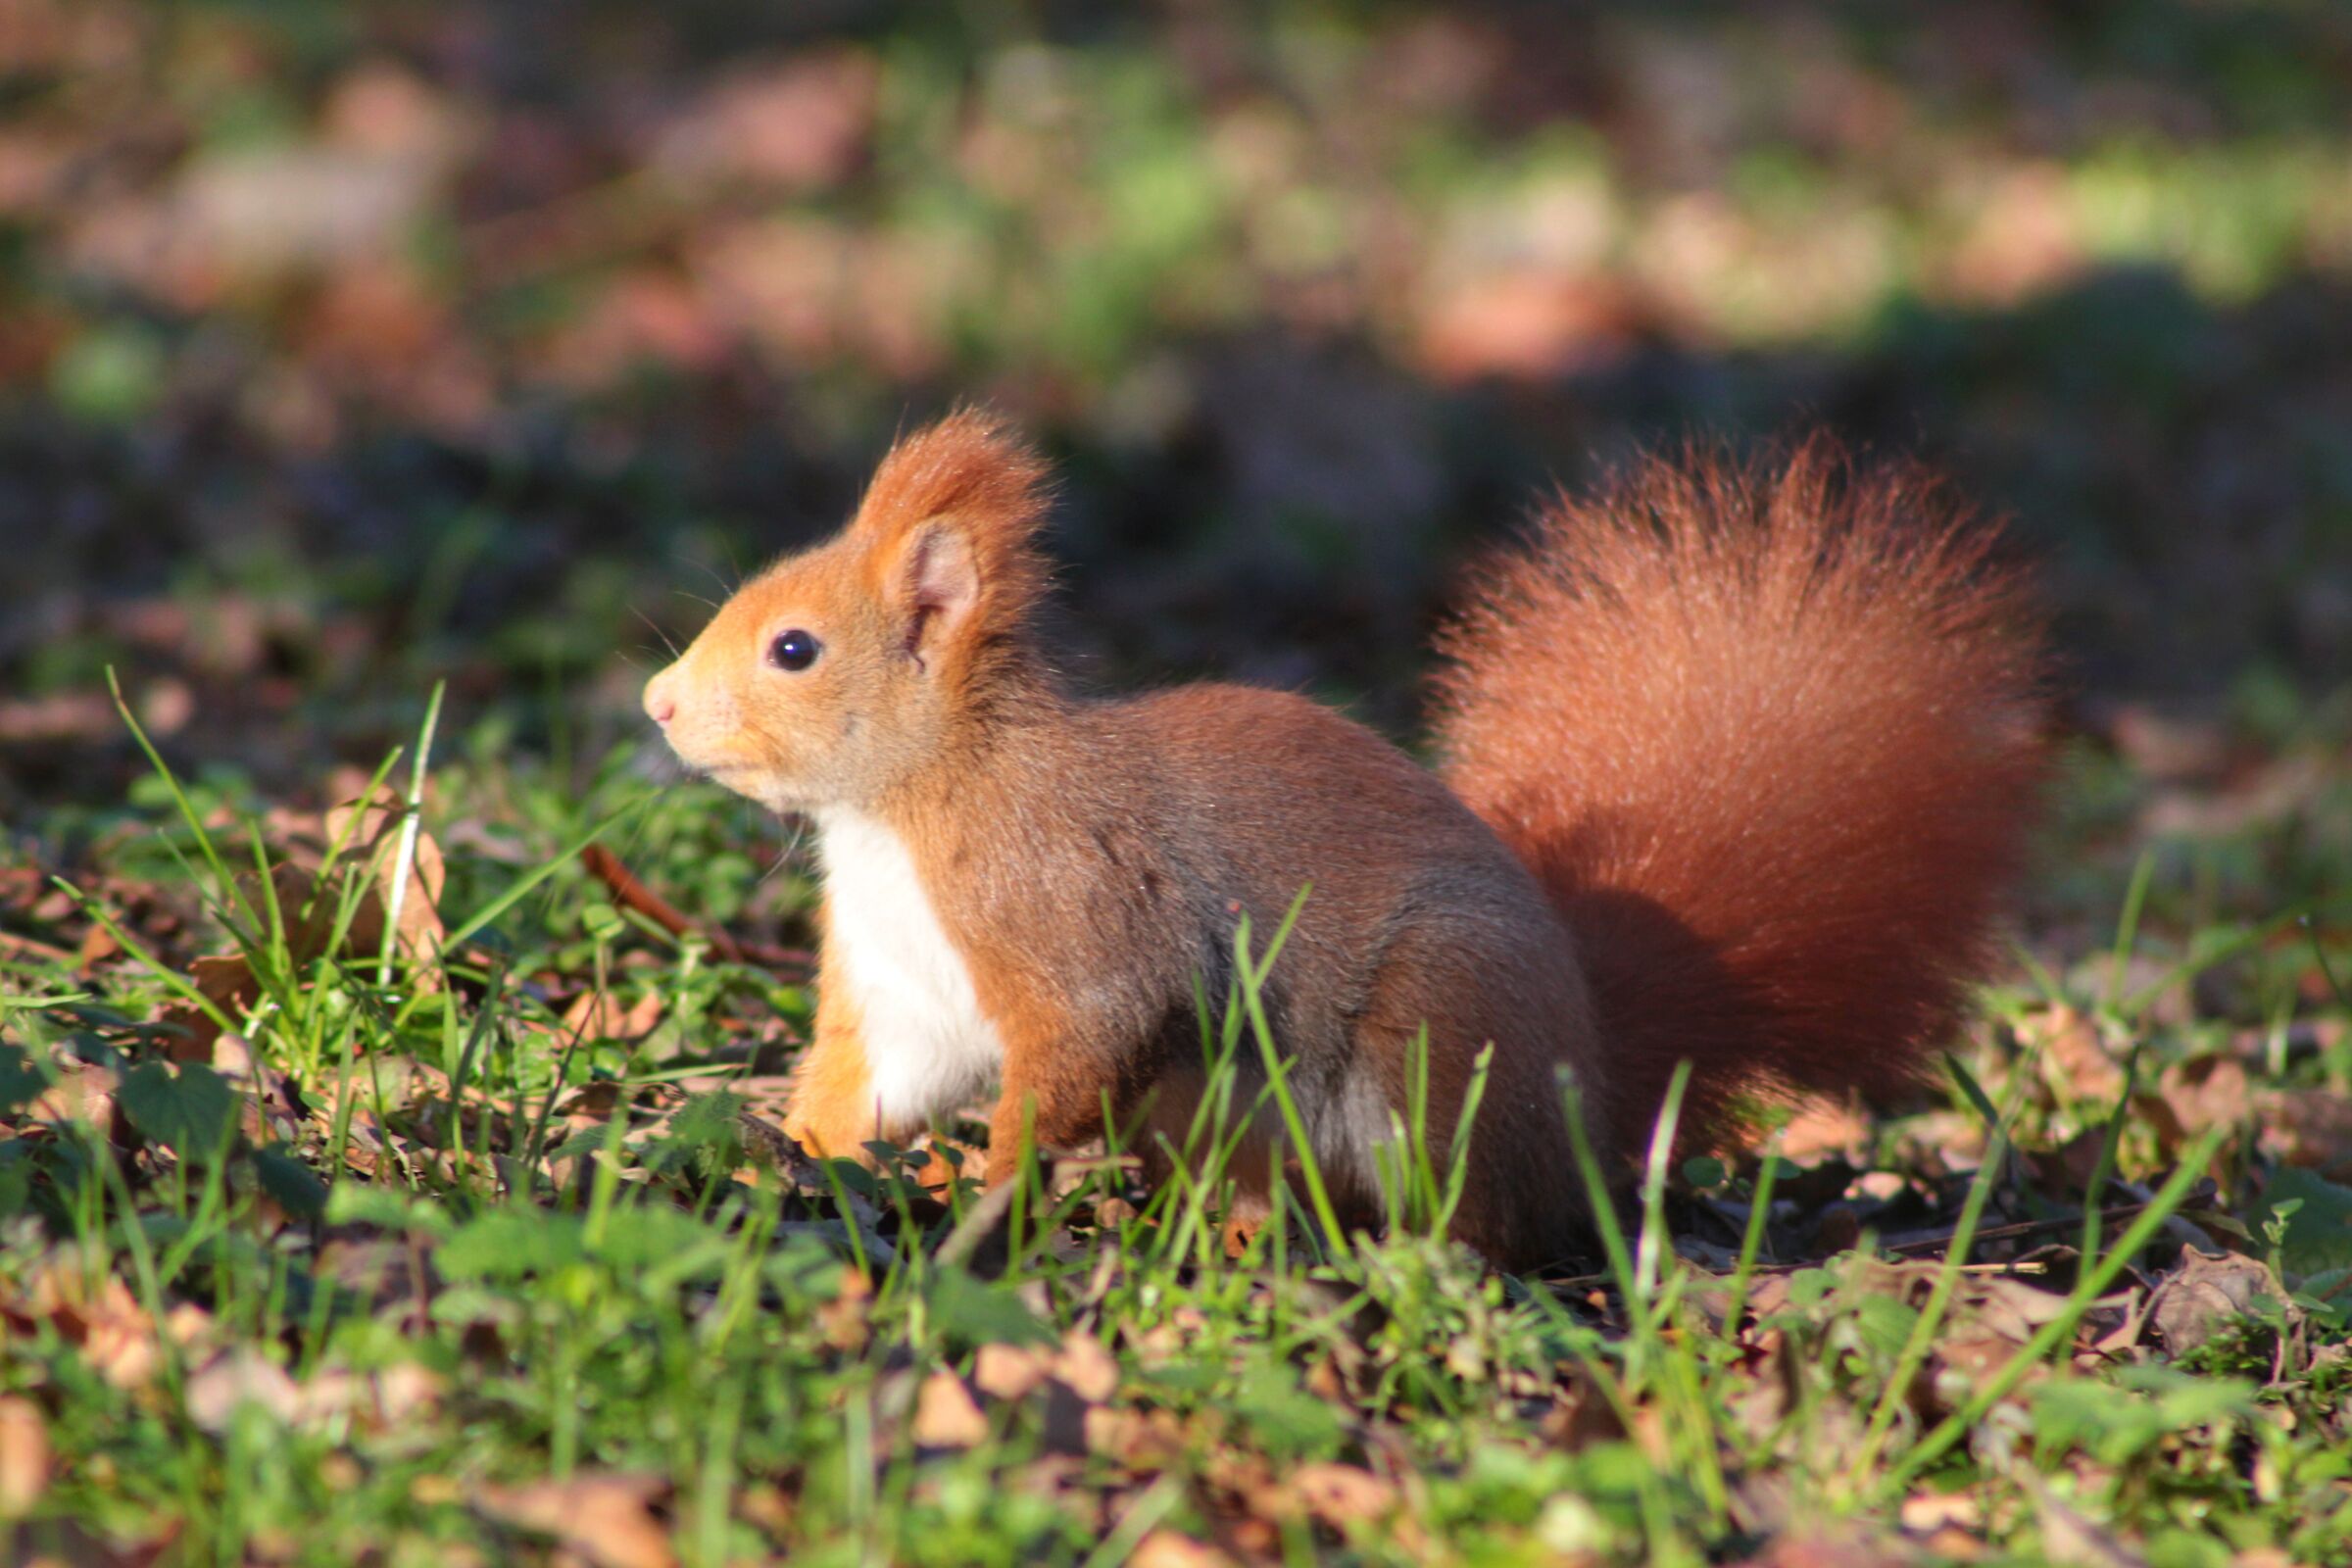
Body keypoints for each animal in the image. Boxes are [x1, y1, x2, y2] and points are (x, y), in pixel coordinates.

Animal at [642, 411, 2047, 1270]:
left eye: (794, 649)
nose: (655, 703)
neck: (906, 806)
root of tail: (1589, 1083)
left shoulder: (1065, 899)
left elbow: (1090, 1033)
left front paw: (990, 1201)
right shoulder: (901, 980)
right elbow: (876, 1080)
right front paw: (789, 1153)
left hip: (1433, 1032)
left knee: (1480, 1218)